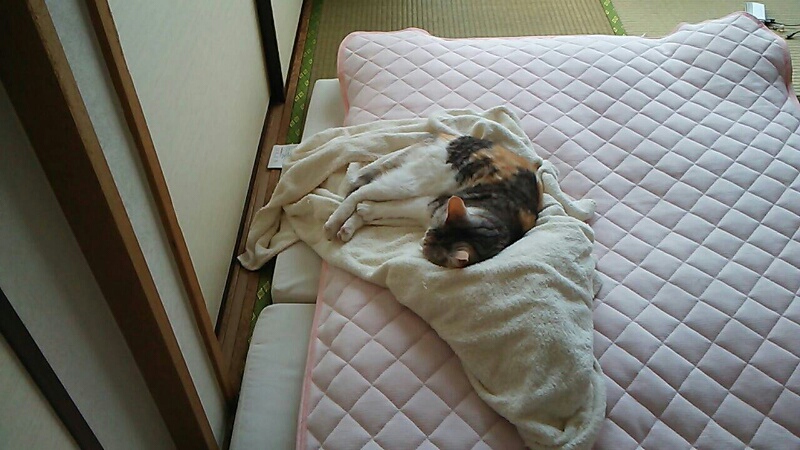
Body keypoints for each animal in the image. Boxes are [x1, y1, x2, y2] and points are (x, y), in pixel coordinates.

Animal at [323, 133, 544, 268]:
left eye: (432, 240)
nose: (424, 241)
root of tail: (449, 137)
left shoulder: (426, 211)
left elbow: (381, 212)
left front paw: (362, 214)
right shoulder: (430, 205)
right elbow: (388, 207)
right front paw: (363, 211)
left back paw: (347, 228)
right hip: (413, 182)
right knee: (360, 191)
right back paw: (332, 224)